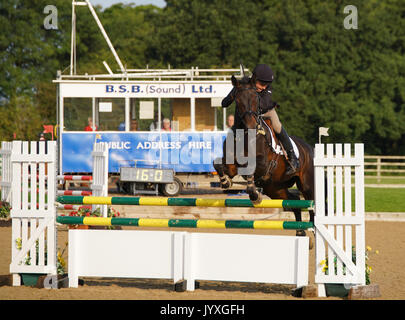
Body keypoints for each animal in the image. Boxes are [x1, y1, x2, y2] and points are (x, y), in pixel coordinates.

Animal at [213, 74, 314, 235]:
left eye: (256, 99)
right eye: (238, 100)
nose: (251, 127)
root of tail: (309, 148)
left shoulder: (263, 165)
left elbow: (249, 169)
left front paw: (255, 196)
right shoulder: (232, 165)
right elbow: (217, 164)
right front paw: (225, 181)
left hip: (306, 185)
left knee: (312, 206)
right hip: (275, 188)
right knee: (294, 200)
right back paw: (300, 231)